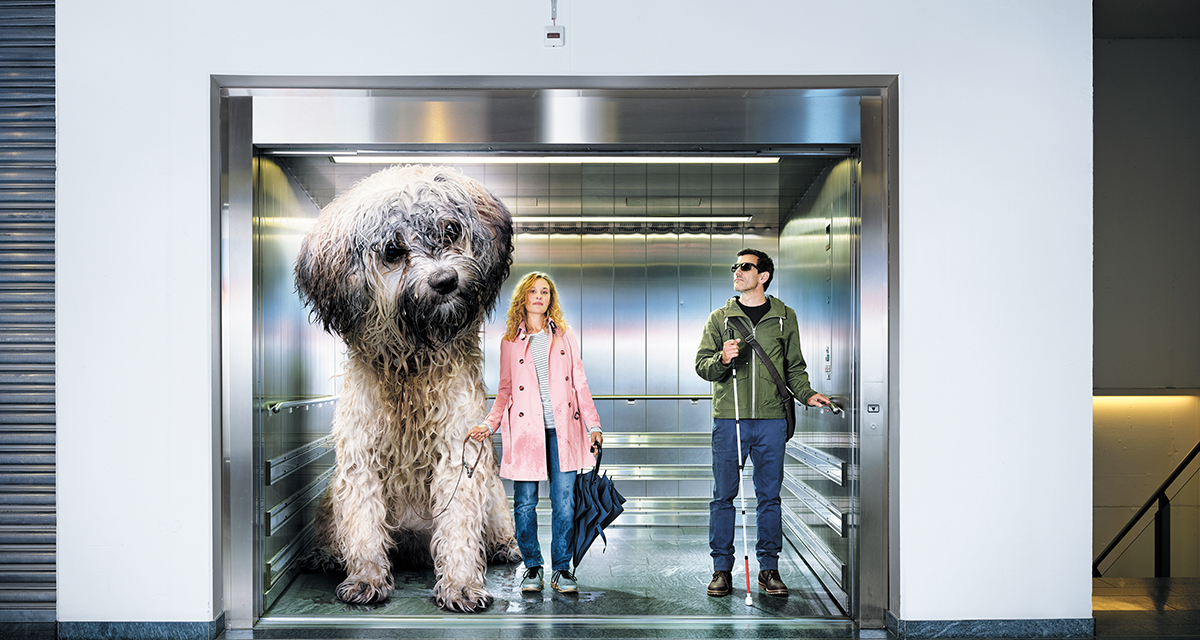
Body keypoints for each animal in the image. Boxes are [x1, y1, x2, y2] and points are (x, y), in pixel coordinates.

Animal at [296, 163, 520, 609]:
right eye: (393, 251)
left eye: (450, 230)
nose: (445, 280)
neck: (412, 360)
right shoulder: (360, 455)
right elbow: (363, 523)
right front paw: (365, 577)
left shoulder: (458, 448)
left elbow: (459, 525)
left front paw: (461, 584)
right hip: (330, 495)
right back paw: (324, 554)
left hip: (494, 493)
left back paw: (506, 546)